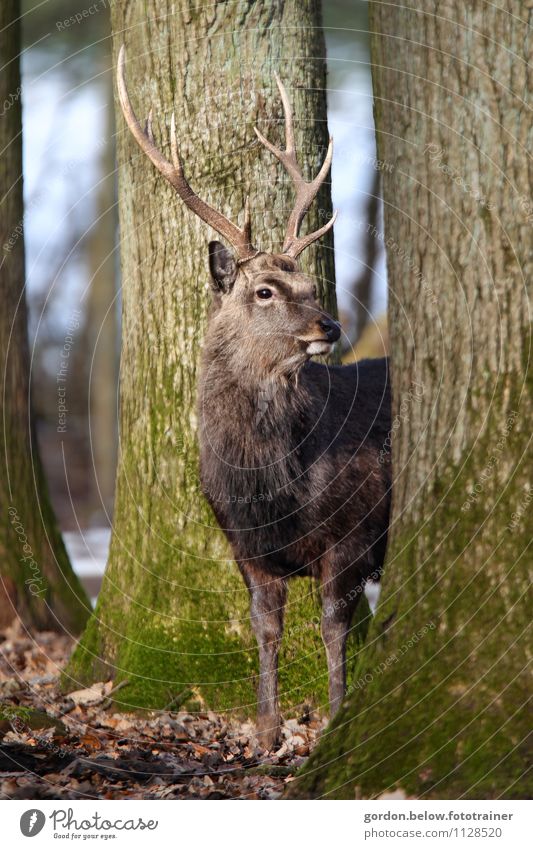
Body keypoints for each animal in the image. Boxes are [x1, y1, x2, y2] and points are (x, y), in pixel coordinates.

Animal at [116, 48, 390, 748]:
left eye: (308, 283)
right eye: (264, 290)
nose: (330, 325)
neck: (271, 483)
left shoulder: (352, 530)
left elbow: (332, 626)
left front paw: (335, 718)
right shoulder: (245, 547)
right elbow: (264, 627)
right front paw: (267, 731)